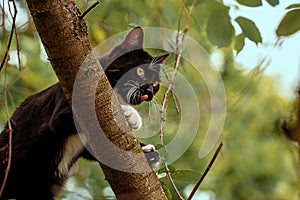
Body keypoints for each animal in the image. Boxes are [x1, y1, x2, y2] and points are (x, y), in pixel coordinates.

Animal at [0, 27, 169, 200]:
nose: (149, 92)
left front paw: (148, 153)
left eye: (155, 84)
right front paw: (130, 114)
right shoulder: (62, 114)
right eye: (140, 71)